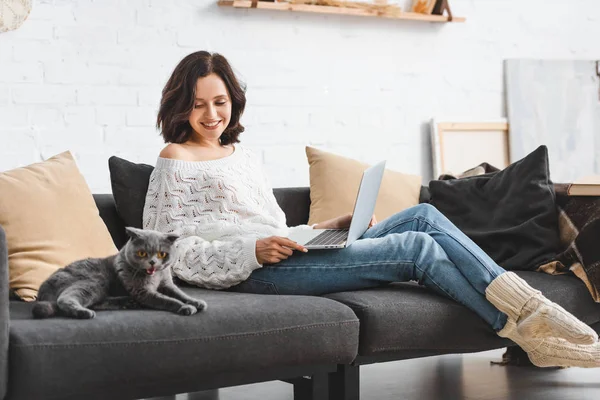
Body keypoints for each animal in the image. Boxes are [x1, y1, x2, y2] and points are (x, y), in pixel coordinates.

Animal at [31, 228, 207, 318]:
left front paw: (196, 302)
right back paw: (85, 313)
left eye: (162, 254)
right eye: (142, 253)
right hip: (94, 281)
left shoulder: (167, 283)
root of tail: (42, 289)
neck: (155, 276)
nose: (152, 262)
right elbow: (166, 300)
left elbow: (179, 293)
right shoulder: (143, 291)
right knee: (65, 299)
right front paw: (185, 307)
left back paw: (127, 302)